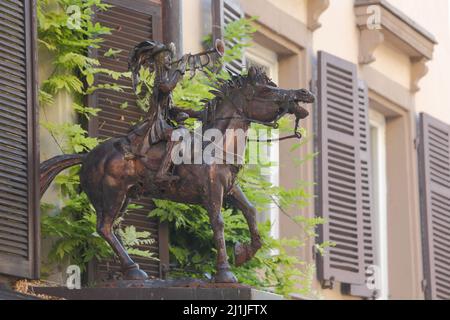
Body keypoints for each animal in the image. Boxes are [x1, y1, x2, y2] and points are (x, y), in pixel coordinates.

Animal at [39, 67, 316, 282]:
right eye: (267, 90)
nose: (304, 93)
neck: (216, 146)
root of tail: (87, 157)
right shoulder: (212, 191)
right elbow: (218, 223)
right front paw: (225, 272)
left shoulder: (230, 189)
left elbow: (250, 211)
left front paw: (244, 252)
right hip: (111, 195)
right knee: (104, 227)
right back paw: (134, 270)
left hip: (125, 197)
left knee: (111, 228)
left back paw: (130, 270)